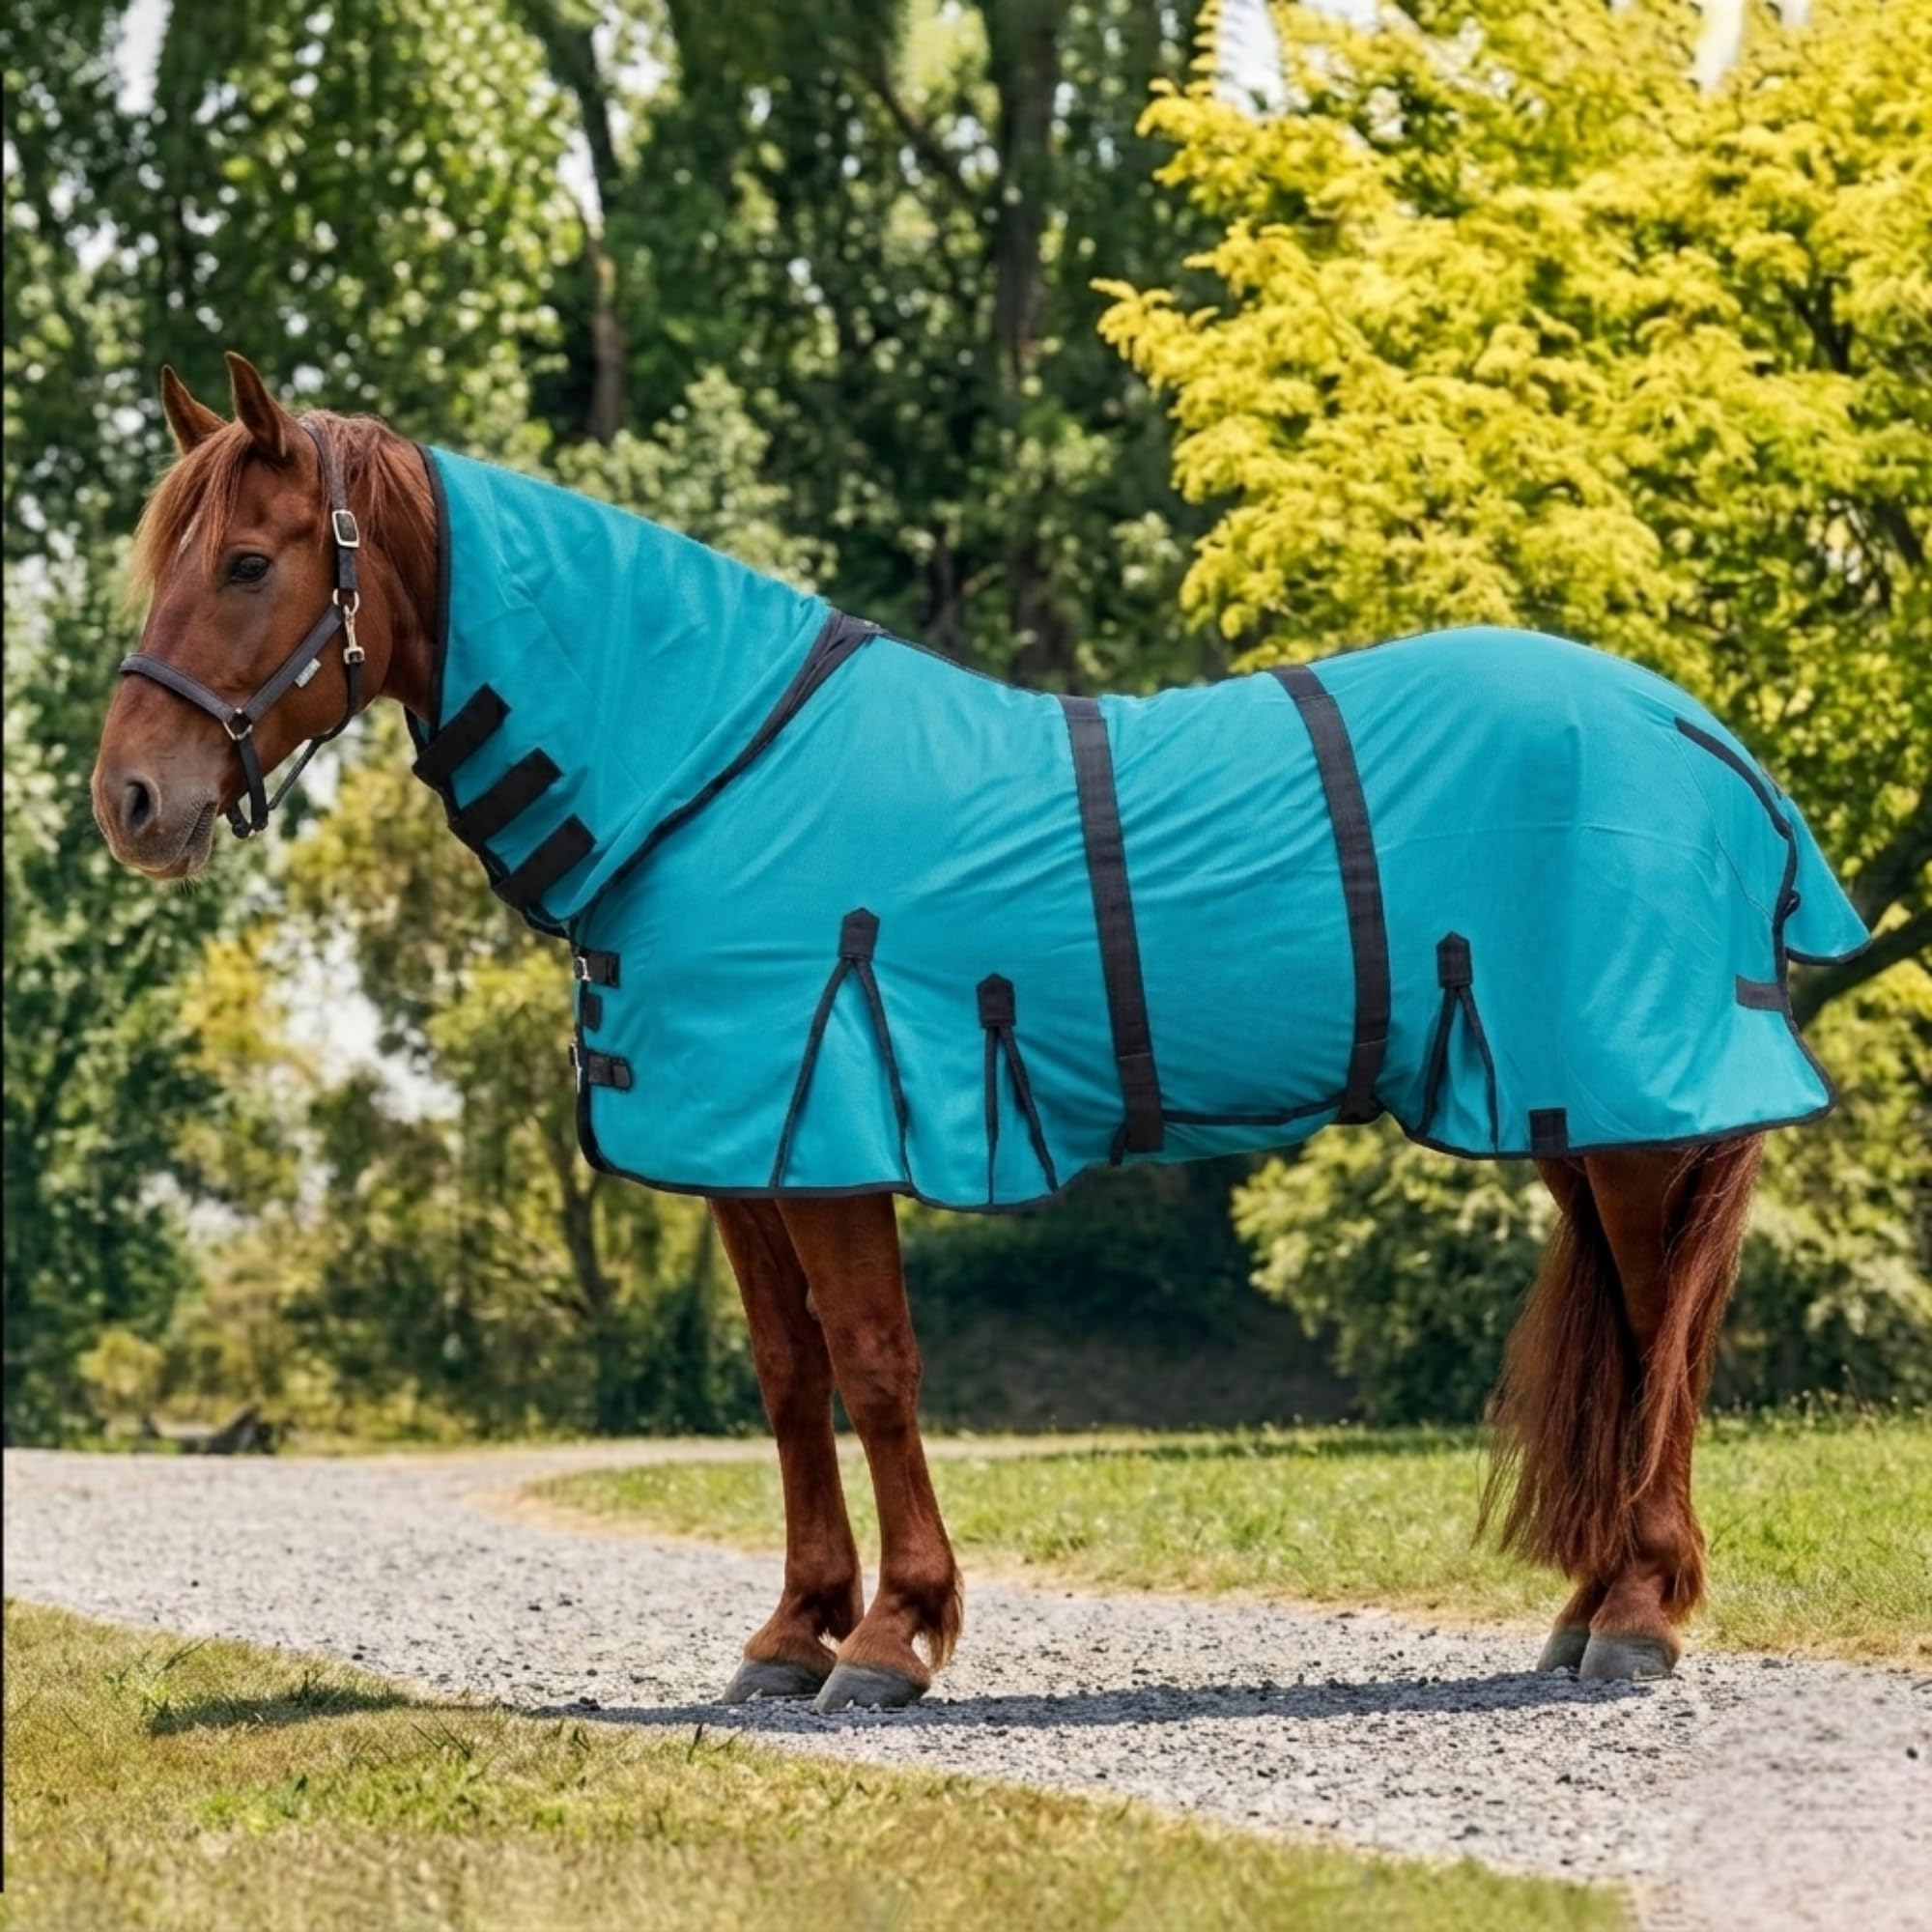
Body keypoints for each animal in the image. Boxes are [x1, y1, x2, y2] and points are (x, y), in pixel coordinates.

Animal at [92, 354, 1862, 1710]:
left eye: (247, 564)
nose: (131, 803)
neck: (713, 764)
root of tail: (1702, 735)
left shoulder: (829, 1133)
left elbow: (877, 1370)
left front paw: (895, 1636)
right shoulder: (745, 1153)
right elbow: (788, 1379)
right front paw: (793, 1632)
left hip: (1629, 1111)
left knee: (1672, 1328)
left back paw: (1638, 1618)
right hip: (1578, 1113)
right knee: (1637, 1328)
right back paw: (1589, 1607)